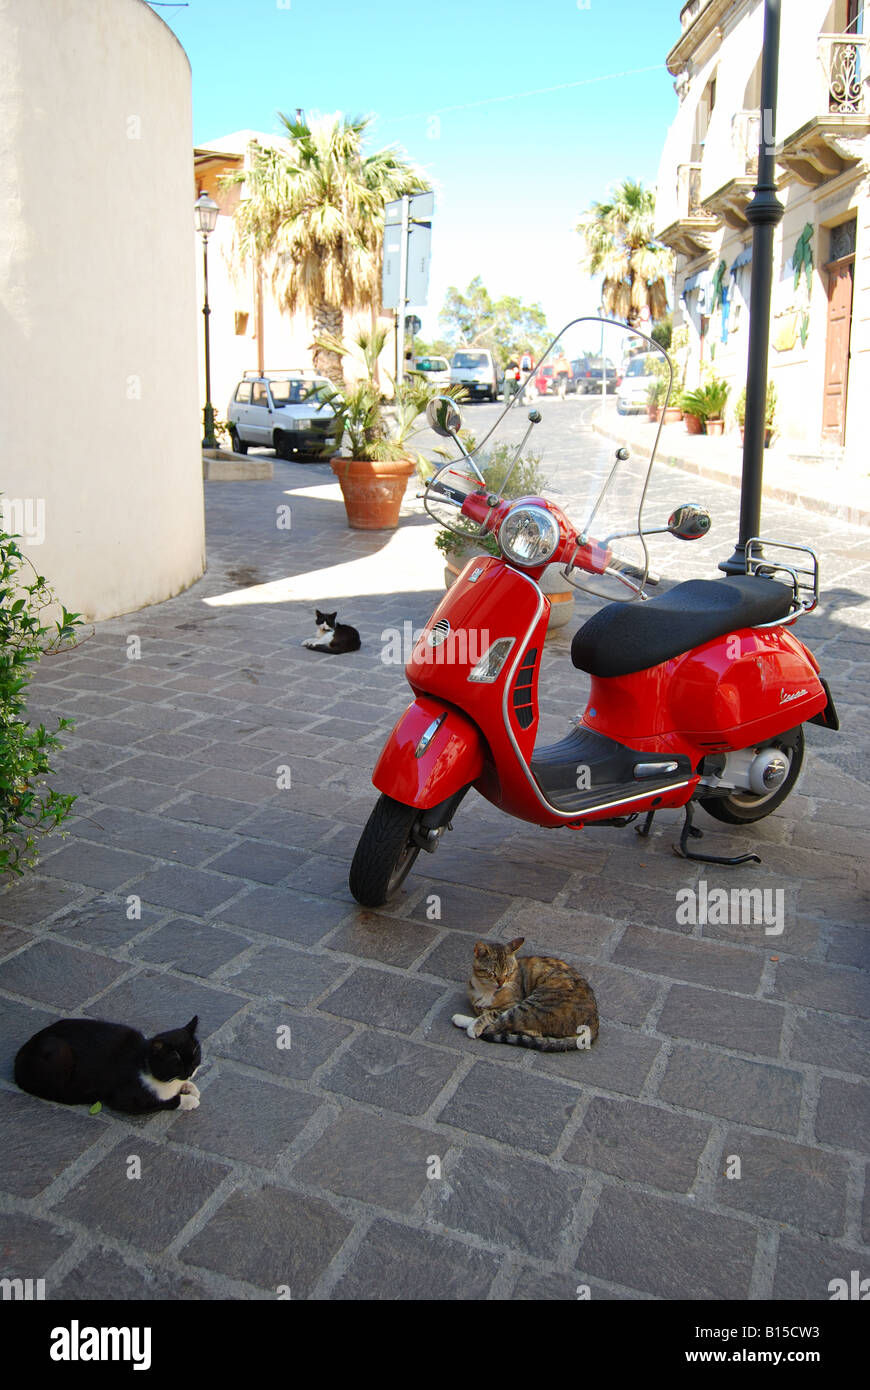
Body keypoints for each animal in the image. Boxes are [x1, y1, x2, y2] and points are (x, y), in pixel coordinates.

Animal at [13, 1017, 201, 1112]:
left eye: (195, 1054)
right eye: (176, 1061)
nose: (190, 1070)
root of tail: (18, 1059)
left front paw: (189, 1087)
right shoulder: (126, 1099)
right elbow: (166, 1102)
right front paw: (189, 1100)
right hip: (57, 1052)